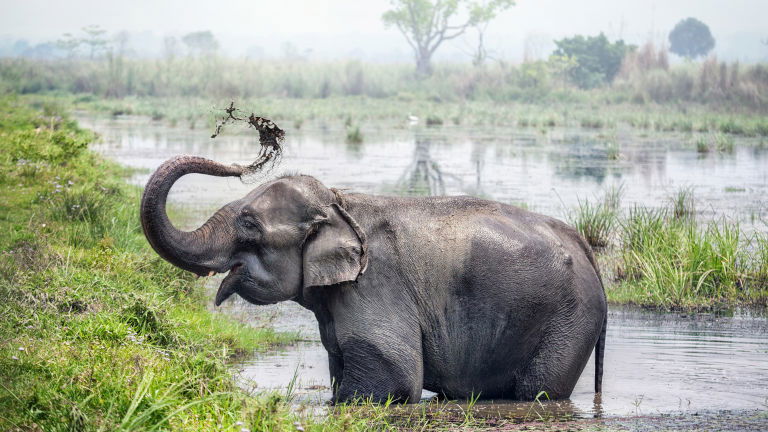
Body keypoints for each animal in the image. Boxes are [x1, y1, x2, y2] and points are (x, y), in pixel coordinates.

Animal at [140, 155, 607, 403]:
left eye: (250, 224)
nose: (241, 164)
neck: (340, 203)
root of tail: (584, 246)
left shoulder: (374, 284)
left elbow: (395, 378)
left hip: (569, 321)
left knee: (539, 392)